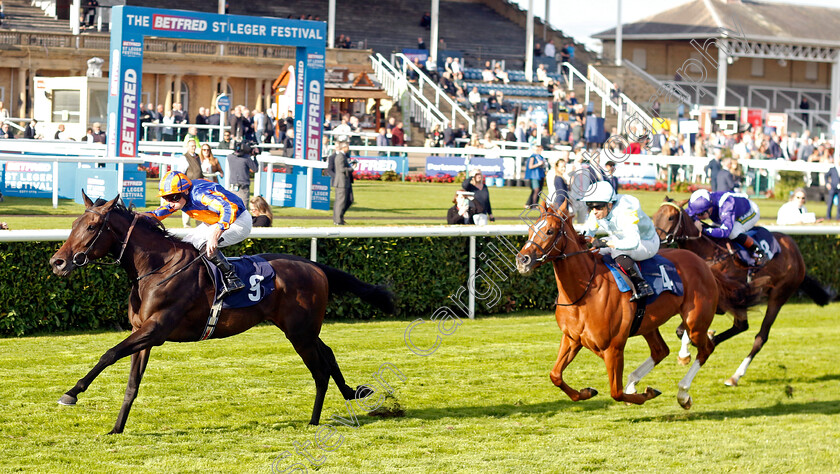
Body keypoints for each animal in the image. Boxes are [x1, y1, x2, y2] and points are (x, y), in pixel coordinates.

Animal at [50, 193, 398, 434]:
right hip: (304, 330)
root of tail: (314, 266)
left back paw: (314, 420)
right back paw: (351, 393)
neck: (157, 269)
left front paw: (71, 393)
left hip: (300, 333)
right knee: (328, 354)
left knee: (320, 370)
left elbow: (109, 353)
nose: (58, 262)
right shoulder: (143, 333)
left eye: (92, 227)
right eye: (73, 225)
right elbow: (132, 385)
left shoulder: (157, 329)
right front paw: (117, 427)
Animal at [516, 200, 732, 408]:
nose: (522, 259)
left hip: (695, 322)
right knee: (661, 350)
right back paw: (635, 382)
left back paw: (683, 394)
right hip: (648, 323)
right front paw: (587, 392)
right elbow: (555, 376)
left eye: (550, 231)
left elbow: (616, 392)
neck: (583, 294)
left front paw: (645, 394)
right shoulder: (572, 339)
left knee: (705, 349)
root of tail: (703, 263)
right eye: (531, 229)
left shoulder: (613, 348)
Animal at [652, 196, 832, 386]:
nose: (655, 241)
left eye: (671, 217)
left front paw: (685, 353)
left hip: (778, 297)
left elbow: (685, 330)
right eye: (655, 215)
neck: (710, 254)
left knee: (760, 337)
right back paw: (713, 340)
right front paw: (698, 342)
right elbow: (682, 330)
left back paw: (735, 375)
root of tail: (796, 253)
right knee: (741, 326)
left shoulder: (722, 300)